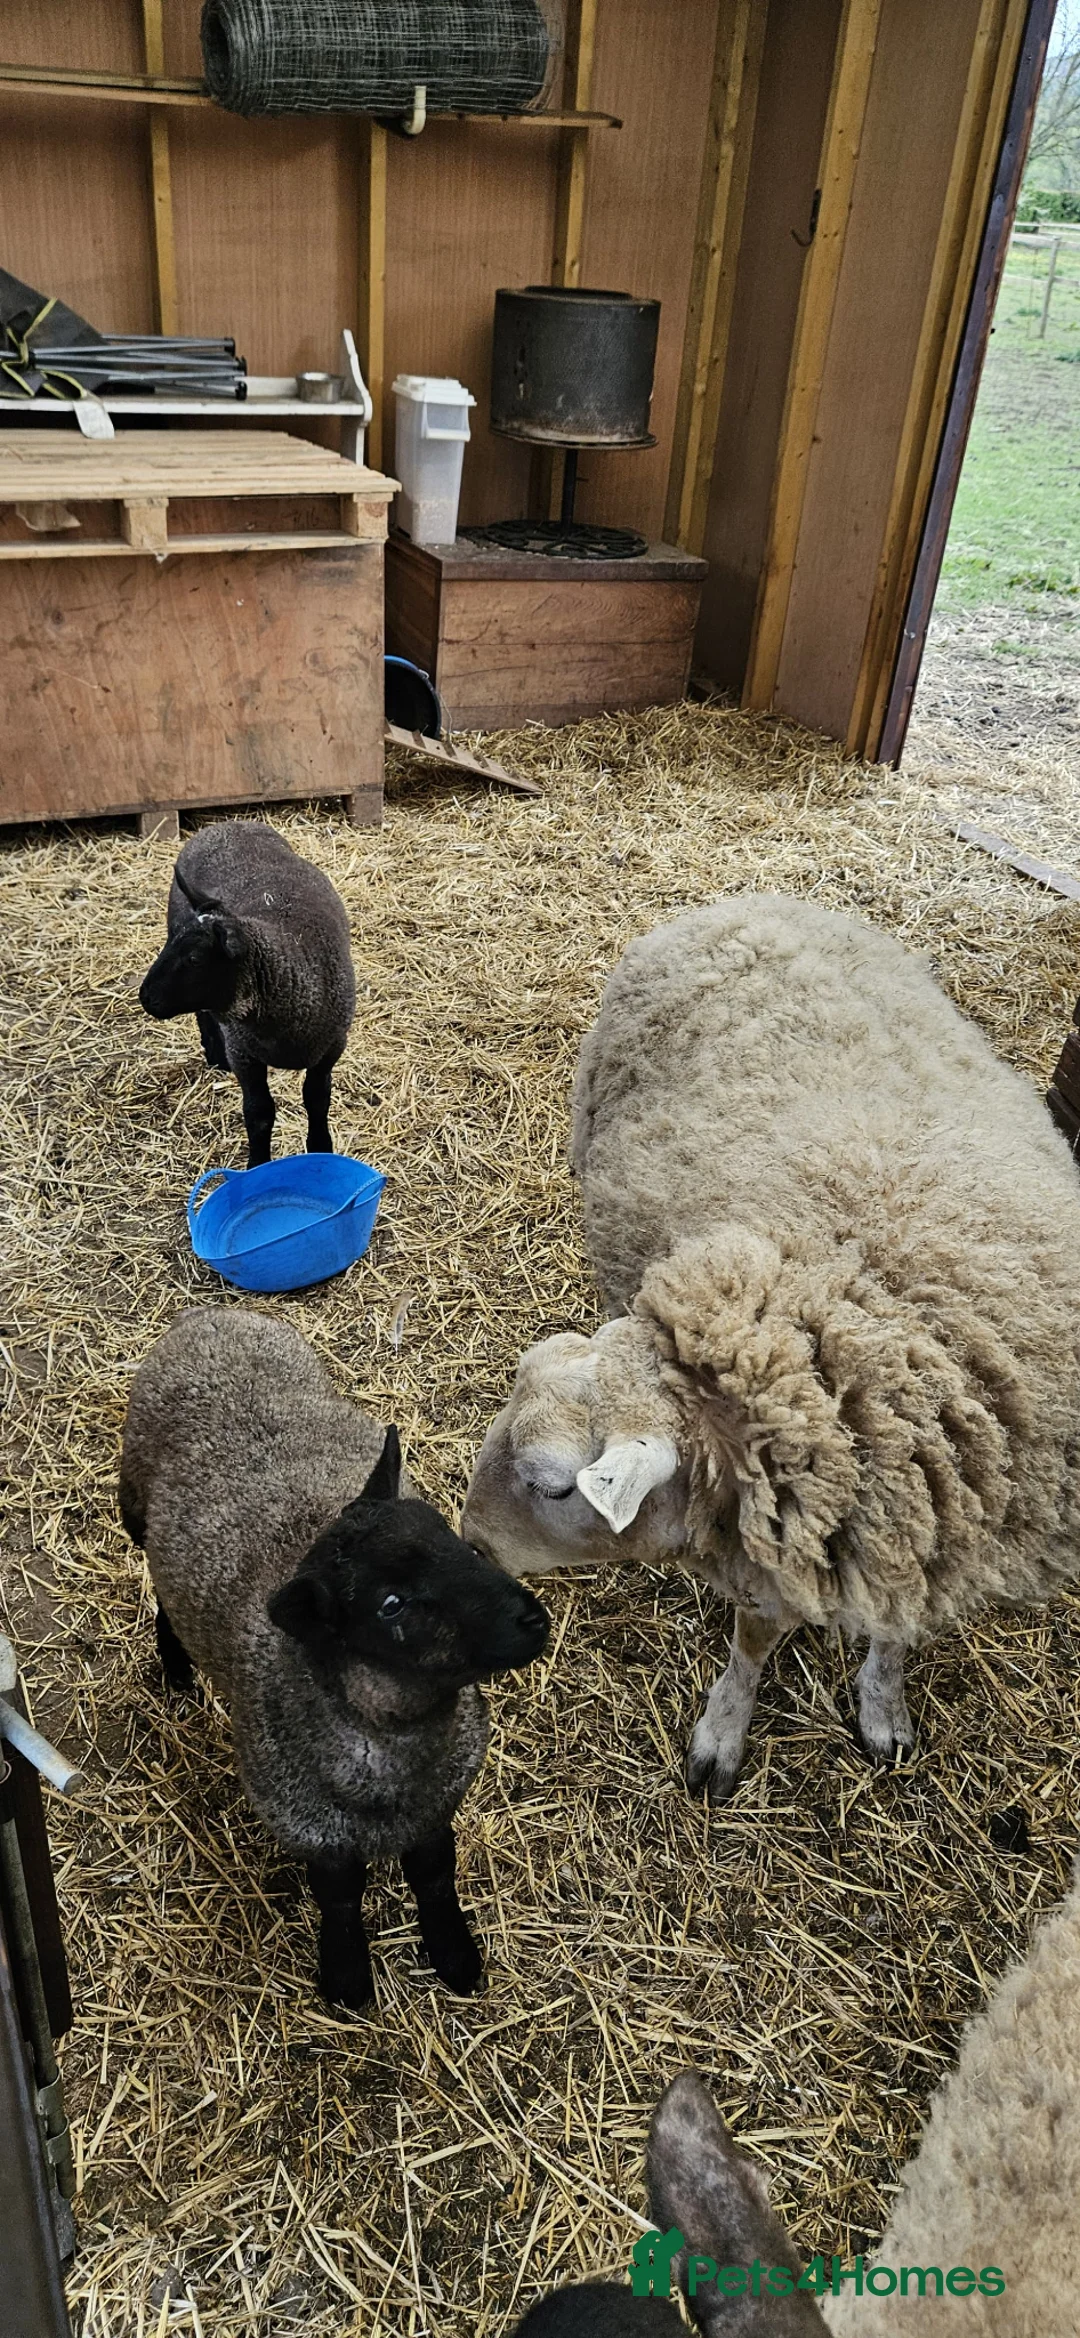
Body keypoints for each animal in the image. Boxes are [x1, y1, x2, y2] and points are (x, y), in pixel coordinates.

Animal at [118, 1307, 550, 2009]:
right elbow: (341, 1900)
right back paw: (176, 1667)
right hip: (132, 1505)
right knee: (156, 1581)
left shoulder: (436, 1808)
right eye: (391, 1605)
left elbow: (435, 1875)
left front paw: (454, 1955)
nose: (529, 1619)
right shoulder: (314, 1832)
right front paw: (346, 1978)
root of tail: (209, 1315)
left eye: (449, 1536)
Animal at [138, 820, 356, 1167]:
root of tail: (224, 824)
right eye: (172, 946)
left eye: (195, 958)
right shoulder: (243, 1053)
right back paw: (215, 1056)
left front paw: (321, 1148)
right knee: (204, 1015)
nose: (145, 997)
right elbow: (259, 1112)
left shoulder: (332, 1047)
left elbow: (317, 1099)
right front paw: (258, 1164)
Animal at [462, 893, 1080, 1800]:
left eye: (551, 1487)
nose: (470, 1538)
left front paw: (883, 1707)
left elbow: (892, 1636)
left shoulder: (920, 1534)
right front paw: (723, 1734)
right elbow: (754, 1644)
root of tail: (745, 902)